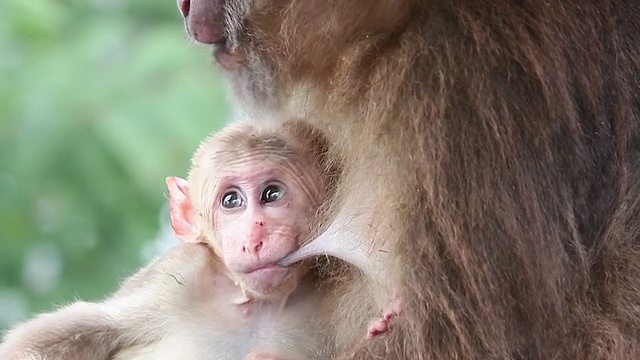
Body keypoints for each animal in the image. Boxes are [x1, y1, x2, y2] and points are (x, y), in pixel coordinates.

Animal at [0, 120, 338, 360]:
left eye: (273, 194)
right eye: (231, 200)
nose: (254, 238)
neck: (256, 305)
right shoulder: (178, 274)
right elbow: (93, 323)